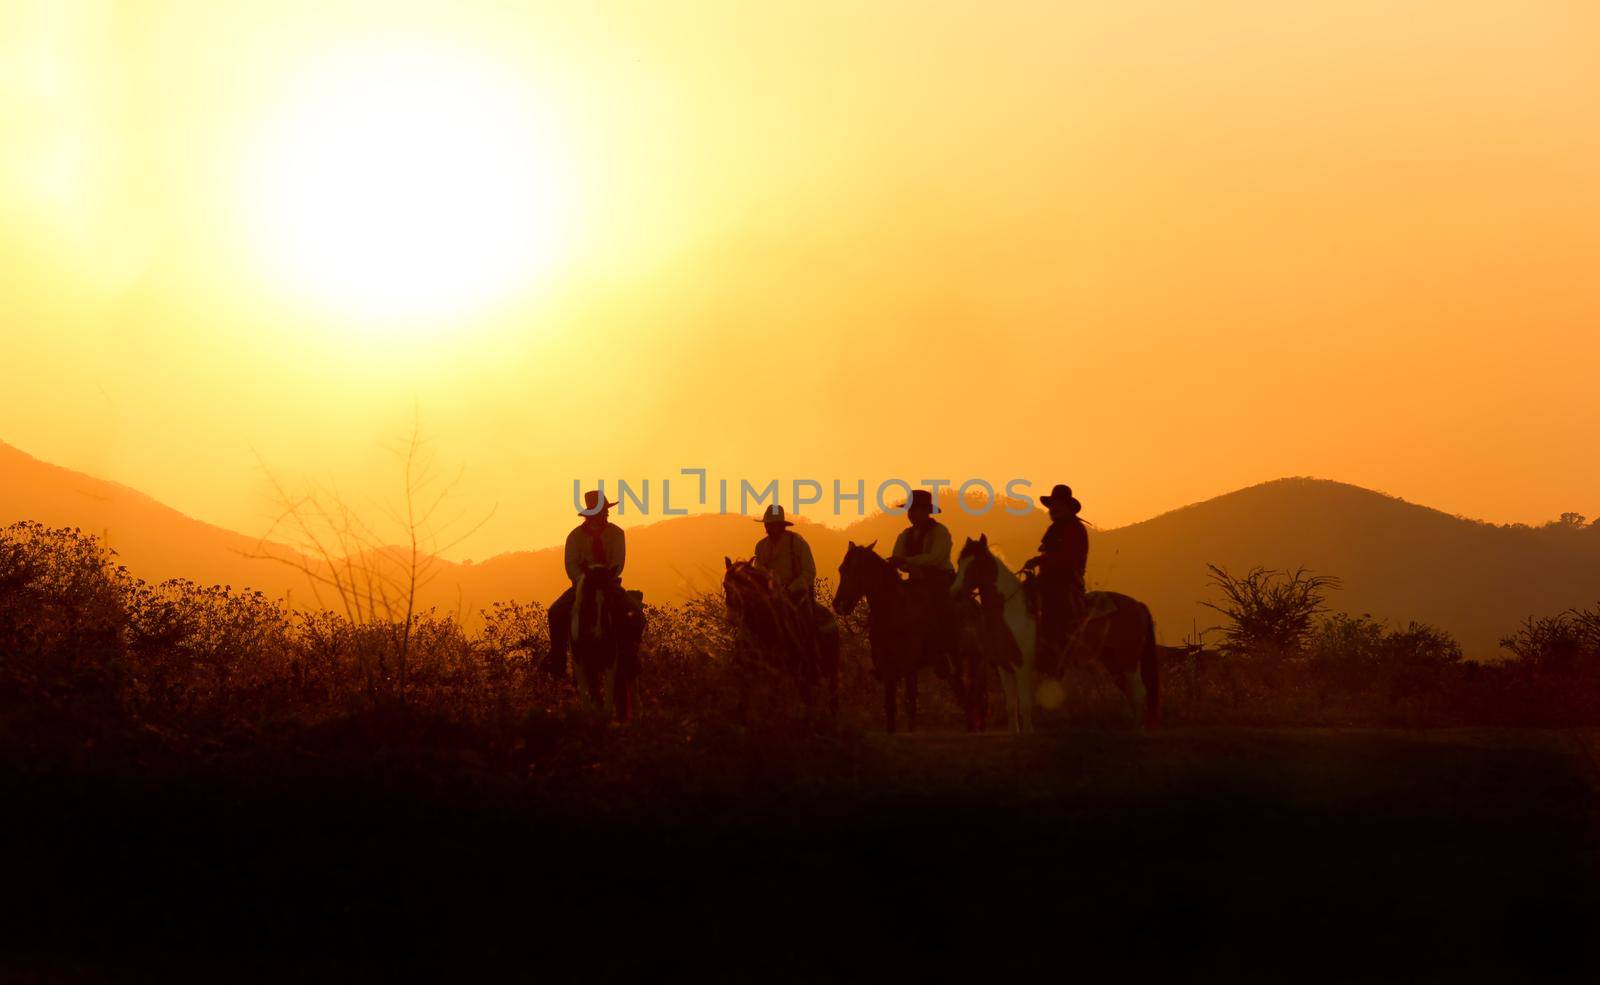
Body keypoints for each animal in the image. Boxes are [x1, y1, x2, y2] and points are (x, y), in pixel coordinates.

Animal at [572, 566, 646, 719]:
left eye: (608, 602)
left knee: (631, 681)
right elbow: (590, 697)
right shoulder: (582, 662)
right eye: (588, 601)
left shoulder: (611, 659)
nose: (598, 635)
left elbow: (608, 699)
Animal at [723, 553, 838, 722]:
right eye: (725, 585)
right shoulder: (749, 669)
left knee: (831, 698)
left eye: (745, 585)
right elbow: (744, 698)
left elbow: (773, 698)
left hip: (829, 671)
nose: (732, 618)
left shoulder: (777, 671)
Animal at [832, 537, 979, 732]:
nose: (839, 604)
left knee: (971, 702)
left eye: (858, 569)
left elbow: (910, 707)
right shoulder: (888, 669)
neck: (894, 611)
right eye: (842, 569)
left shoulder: (909, 667)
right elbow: (891, 708)